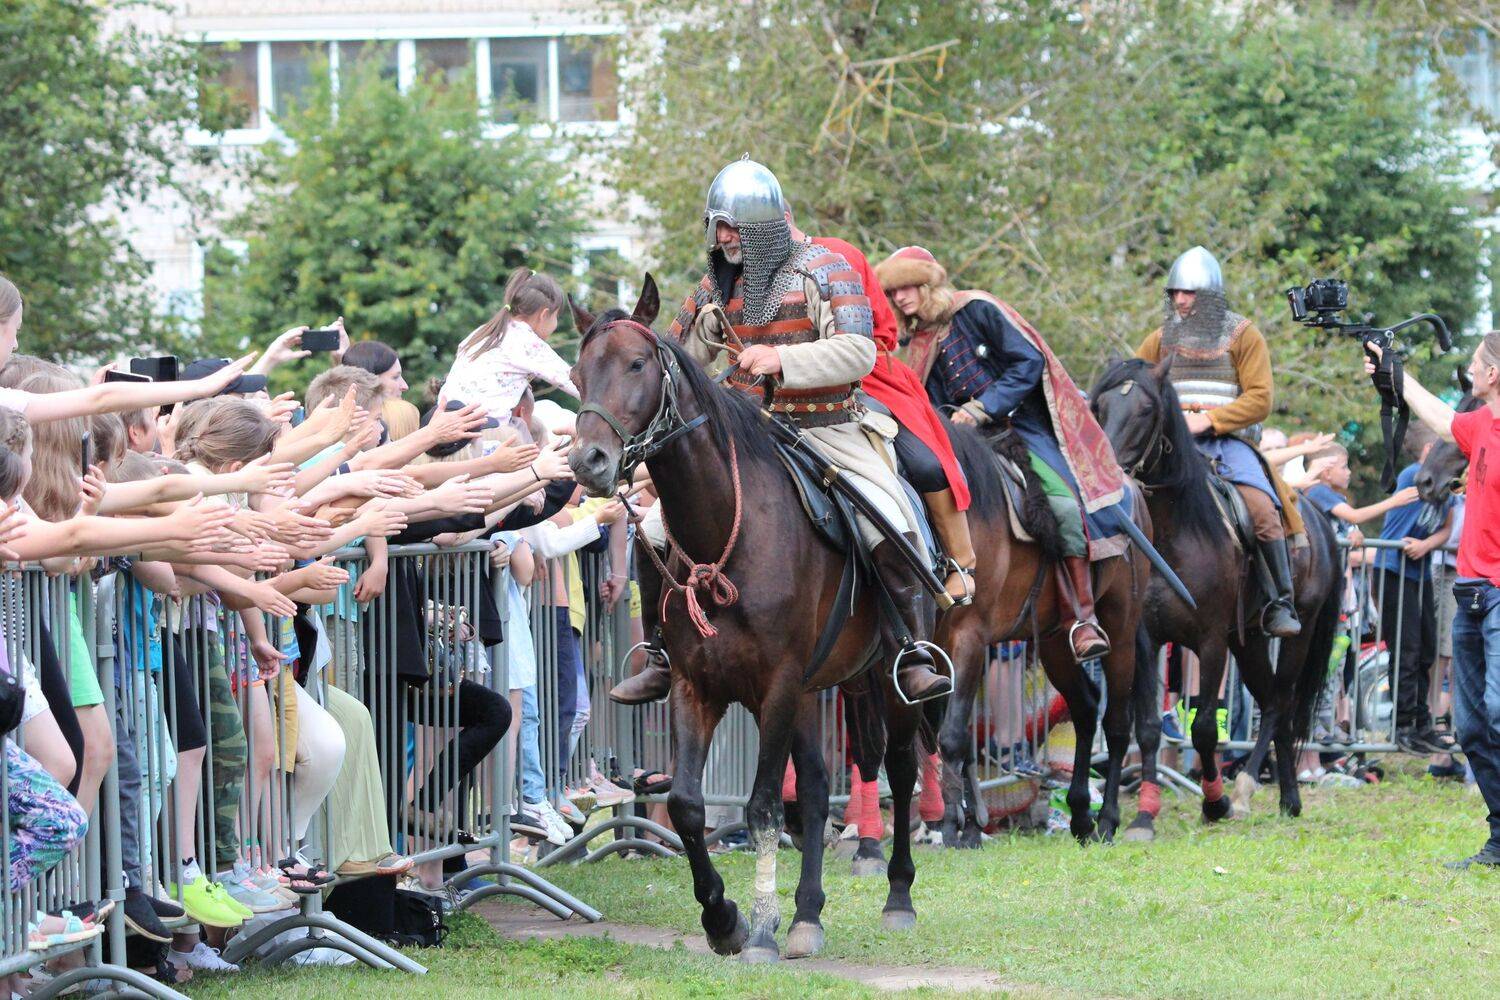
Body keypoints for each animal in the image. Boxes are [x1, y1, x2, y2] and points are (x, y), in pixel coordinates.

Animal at [566, 275, 941, 963]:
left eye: (636, 365)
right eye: (579, 374)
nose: (588, 463)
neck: (725, 532)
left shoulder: (778, 685)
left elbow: (764, 805)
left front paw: (761, 928)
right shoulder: (698, 687)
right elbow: (688, 805)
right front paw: (725, 919)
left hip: (881, 678)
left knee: (900, 767)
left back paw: (897, 897)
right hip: (821, 688)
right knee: (817, 788)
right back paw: (808, 916)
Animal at [932, 424, 1153, 845]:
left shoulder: (969, 636)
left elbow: (951, 734)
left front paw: (954, 826)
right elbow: (960, 737)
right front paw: (971, 826)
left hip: (1122, 628)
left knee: (1117, 724)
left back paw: (1108, 820)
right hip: (1054, 641)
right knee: (1085, 707)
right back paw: (1081, 814)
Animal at [1091, 357, 1342, 822]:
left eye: (1146, 410)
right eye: (1098, 407)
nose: (1108, 478)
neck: (1173, 532)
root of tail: (1315, 515)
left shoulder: (1210, 642)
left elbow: (1205, 728)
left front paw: (1215, 801)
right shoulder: (1145, 639)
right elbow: (1148, 729)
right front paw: (1144, 813)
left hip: (1296, 632)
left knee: (1278, 705)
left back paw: (1249, 791)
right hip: (1248, 640)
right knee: (1272, 703)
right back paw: (1286, 796)